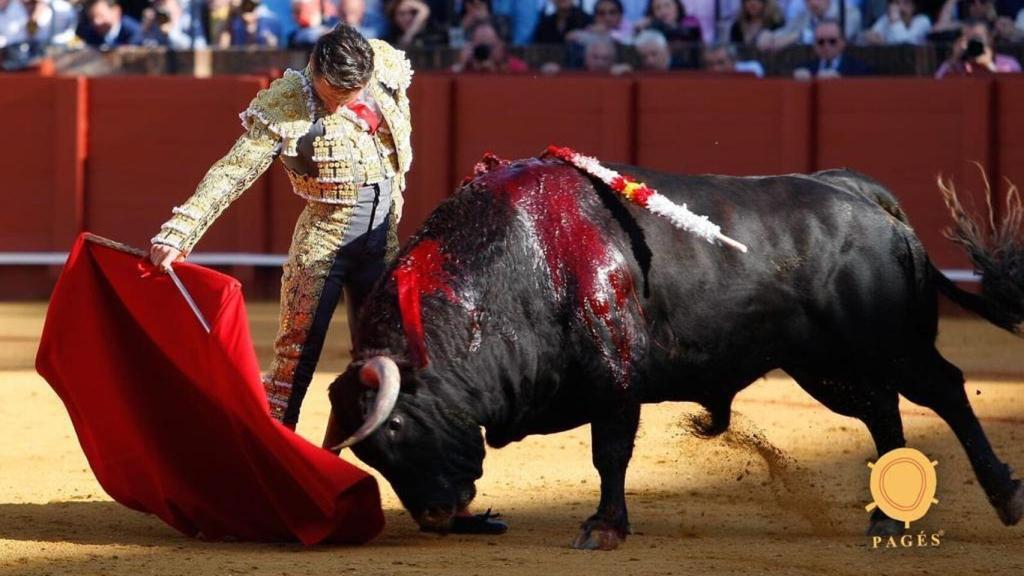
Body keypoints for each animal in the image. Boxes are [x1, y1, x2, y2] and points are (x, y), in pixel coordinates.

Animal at [325, 155, 1024, 545]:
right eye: (370, 456)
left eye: (396, 433)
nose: (437, 516)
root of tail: (861, 196)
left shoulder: (615, 375)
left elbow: (609, 451)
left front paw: (604, 527)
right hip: (827, 367)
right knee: (883, 410)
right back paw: (886, 519)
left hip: (890, 341)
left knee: (945, 390)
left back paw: (1002, 496)